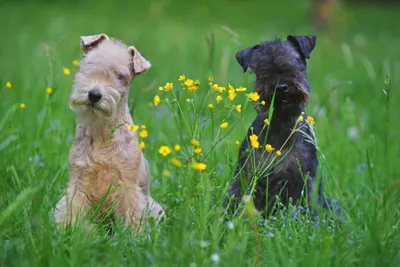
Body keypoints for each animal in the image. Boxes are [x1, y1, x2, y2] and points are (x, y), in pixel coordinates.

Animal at [54, 33, 164, 230]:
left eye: (120, 75)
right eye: (89, 63)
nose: (94, 95)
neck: (101, 131)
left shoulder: (127, 183)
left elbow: (132, 213)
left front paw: (135, 234)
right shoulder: (78, 179)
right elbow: (72, 207)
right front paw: (70, 230)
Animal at [225, 35, 340, 220]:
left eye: (296, 62)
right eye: (262, 68)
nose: (281, 87)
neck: (281, 125)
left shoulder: (304, 181)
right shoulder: (247, 177)